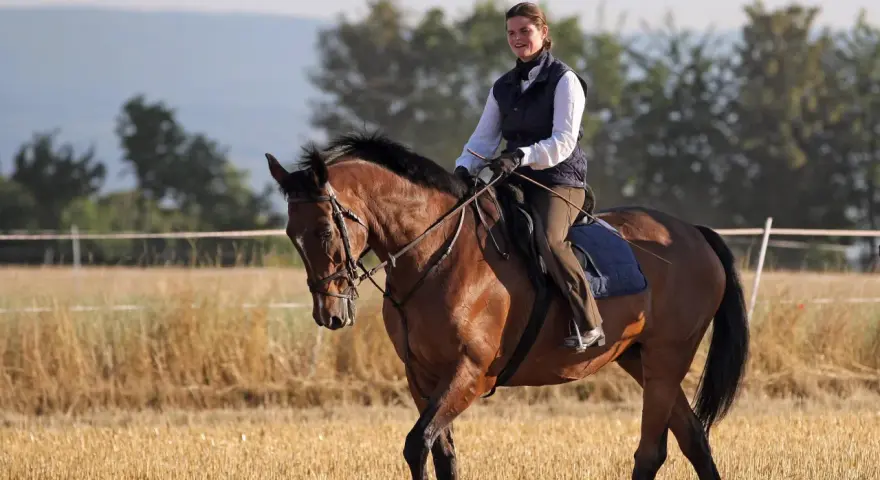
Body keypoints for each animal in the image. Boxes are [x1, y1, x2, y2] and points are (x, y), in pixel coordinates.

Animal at [264, 132, 749, 480]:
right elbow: (442, 454)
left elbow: (417, 443)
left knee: (652, 452)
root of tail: (693, 232)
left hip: (668, 357)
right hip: (639, 357)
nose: (330, 313)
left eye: (326, 231)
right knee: (694, 439)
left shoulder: (470, 372)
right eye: (291, 234)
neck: (439, 254)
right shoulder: (421, 375)